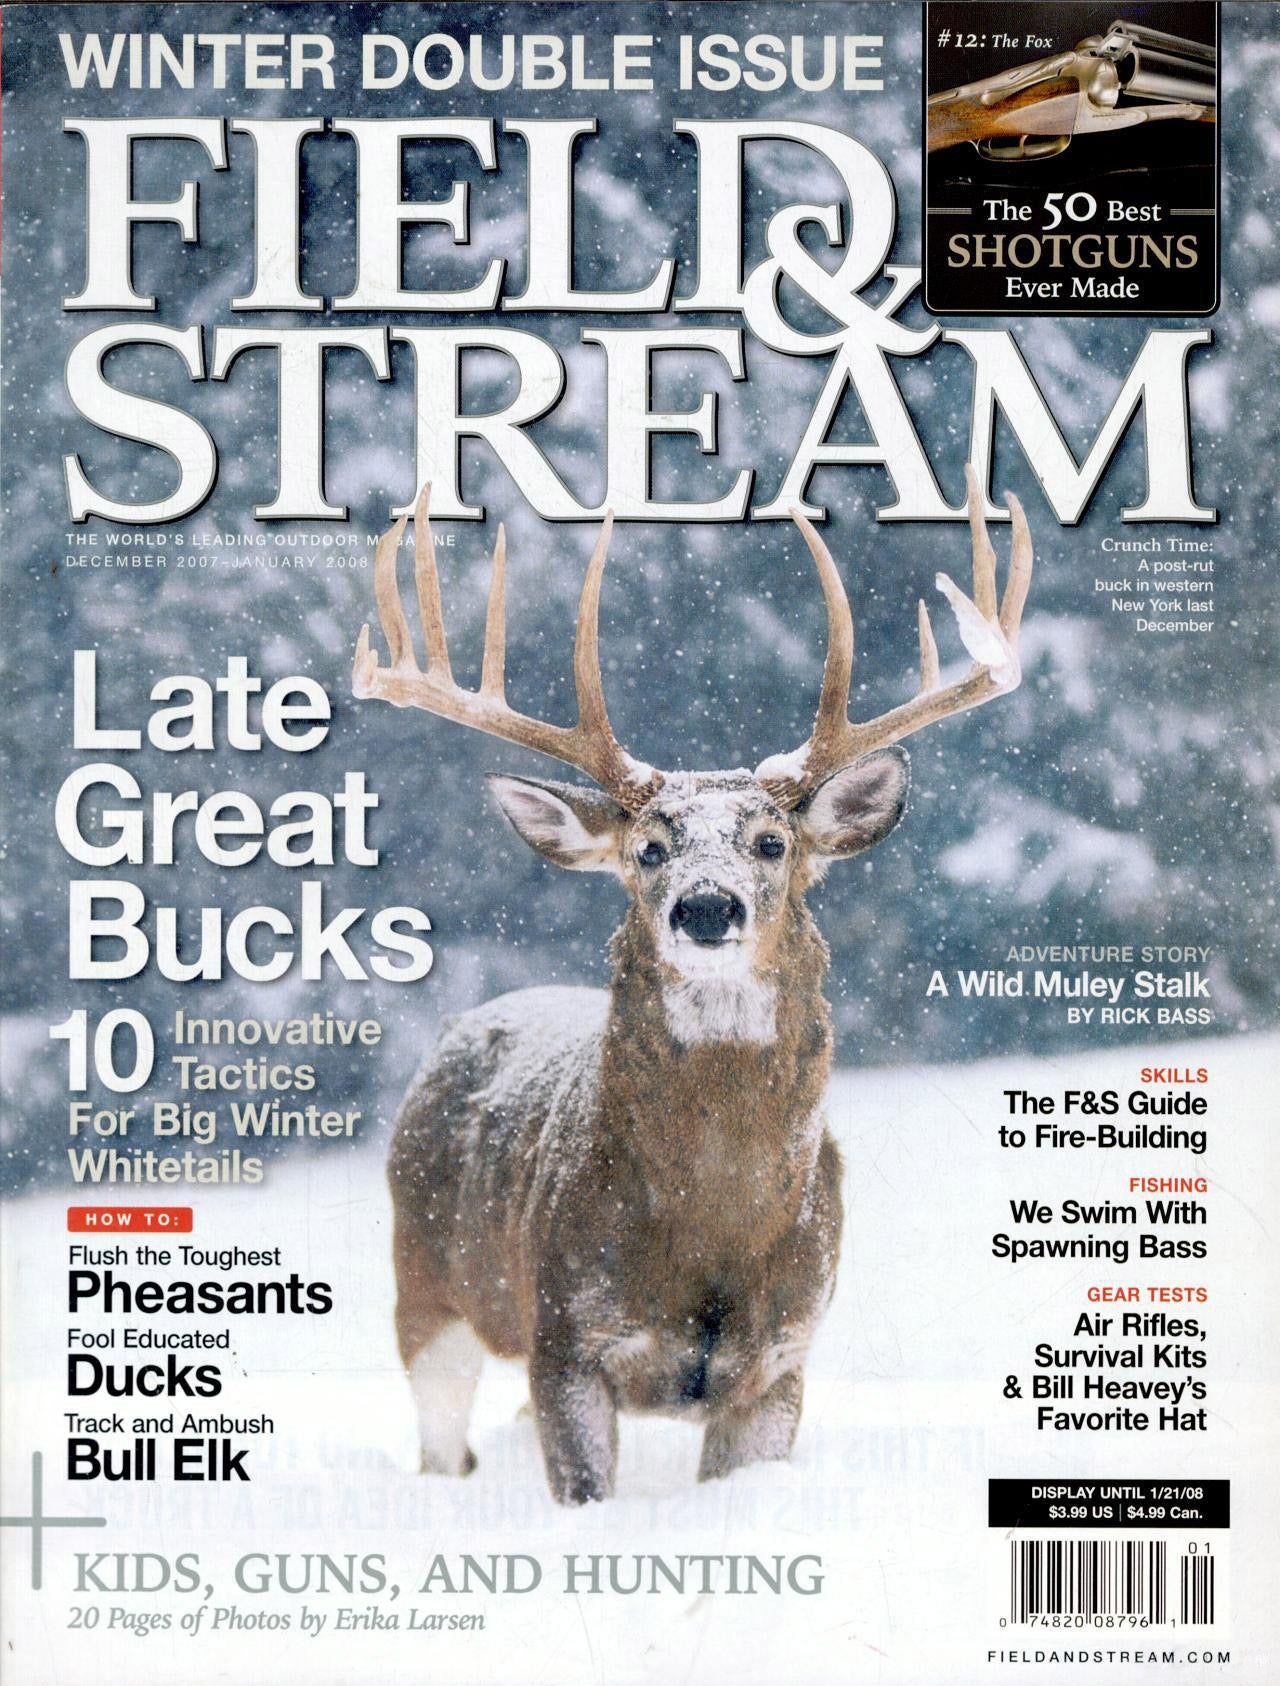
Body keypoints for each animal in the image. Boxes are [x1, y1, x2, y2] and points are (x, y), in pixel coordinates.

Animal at [353, 467, 1032, 1504]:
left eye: (772, 841)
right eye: (648, 849)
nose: (706, 908)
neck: (713, 1233)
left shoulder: (782, 1357)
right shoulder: (566, 1332)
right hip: (425, 1285)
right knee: (442, 1440)